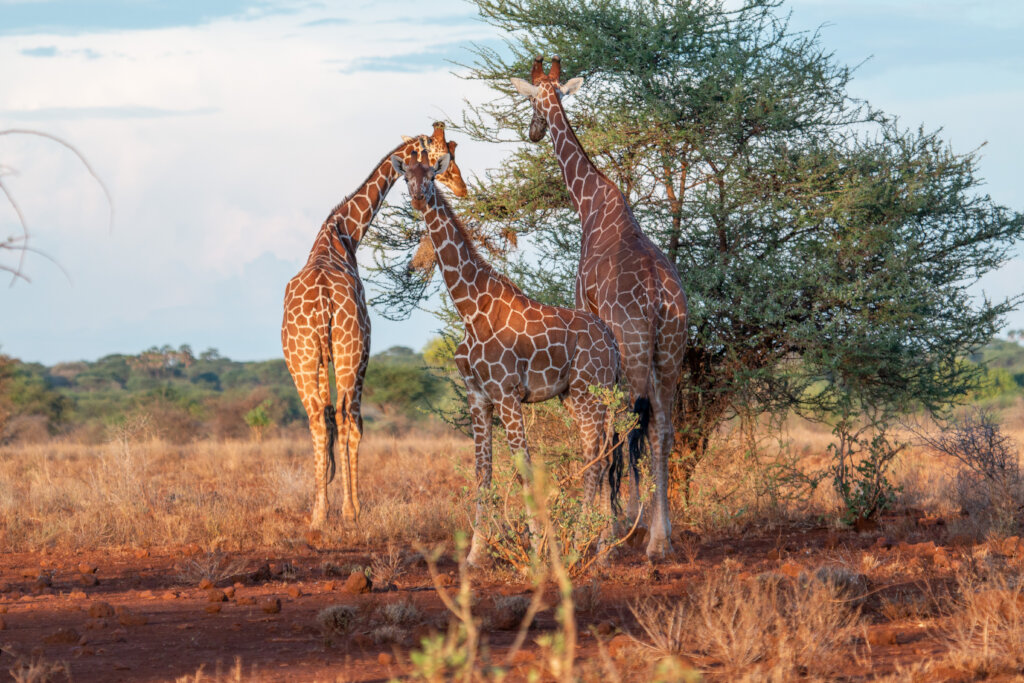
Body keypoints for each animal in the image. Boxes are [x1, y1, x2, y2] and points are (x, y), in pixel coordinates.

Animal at [284, 124, 468, 528]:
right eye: (442, 156)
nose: (462, 187)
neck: (343, 233)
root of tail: (323, 300)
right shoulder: (364, 352)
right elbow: (354, 423)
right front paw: (350, 506)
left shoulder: (321, 361)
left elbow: (329, 421)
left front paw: (328, 502)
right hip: (350, 352)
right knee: (347, 418)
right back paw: (349, 509)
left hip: (302, 359)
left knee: (318, 418)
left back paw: (318, 514)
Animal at [393, 152, 622, 569]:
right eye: (406, 178)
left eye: (432, 175)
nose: (418, 198)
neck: (470, 307)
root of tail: (611, 341)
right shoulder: (478, 397)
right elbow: (483, 473)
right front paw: (474, 555)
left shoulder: (507, 394)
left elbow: (524, 472)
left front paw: (538, 554)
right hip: (577, 395)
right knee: (602, 454)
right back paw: (601, 547)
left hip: (589, 391)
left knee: (597, 457)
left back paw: (584, 543)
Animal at [509, 57, 688, 561]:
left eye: (531, 101)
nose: (533, 130)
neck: (589, 201)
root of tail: (659, 295)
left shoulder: (585, 313)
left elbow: (604, 436)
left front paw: (606, 527)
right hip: (670, 353)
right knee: (662, 429)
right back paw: (660, 537)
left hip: (633, 350)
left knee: (625, 429)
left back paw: (626, 536)